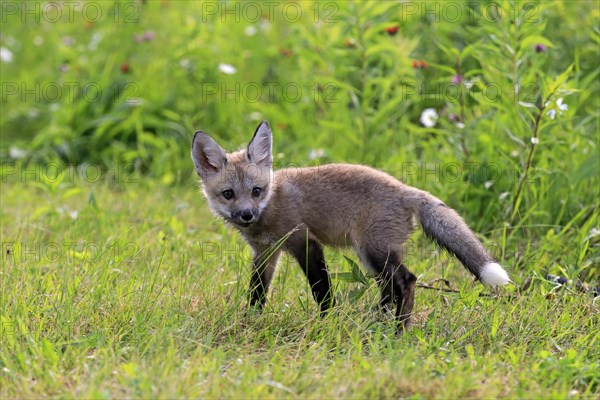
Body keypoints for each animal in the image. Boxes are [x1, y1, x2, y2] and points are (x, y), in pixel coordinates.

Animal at [192, 120, 510, 332]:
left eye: (257, 191)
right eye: (229, 194)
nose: (246, 215)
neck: (272, 205)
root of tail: (406, 190)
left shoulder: (304, 242)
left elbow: (322, 291)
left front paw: (325, 322)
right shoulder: (265, 253)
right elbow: (257, 292)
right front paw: (251, 319)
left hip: (373, 251)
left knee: (407, 281)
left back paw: (399, 330)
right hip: (371, 256)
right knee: (389, 289)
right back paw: (378, 321)